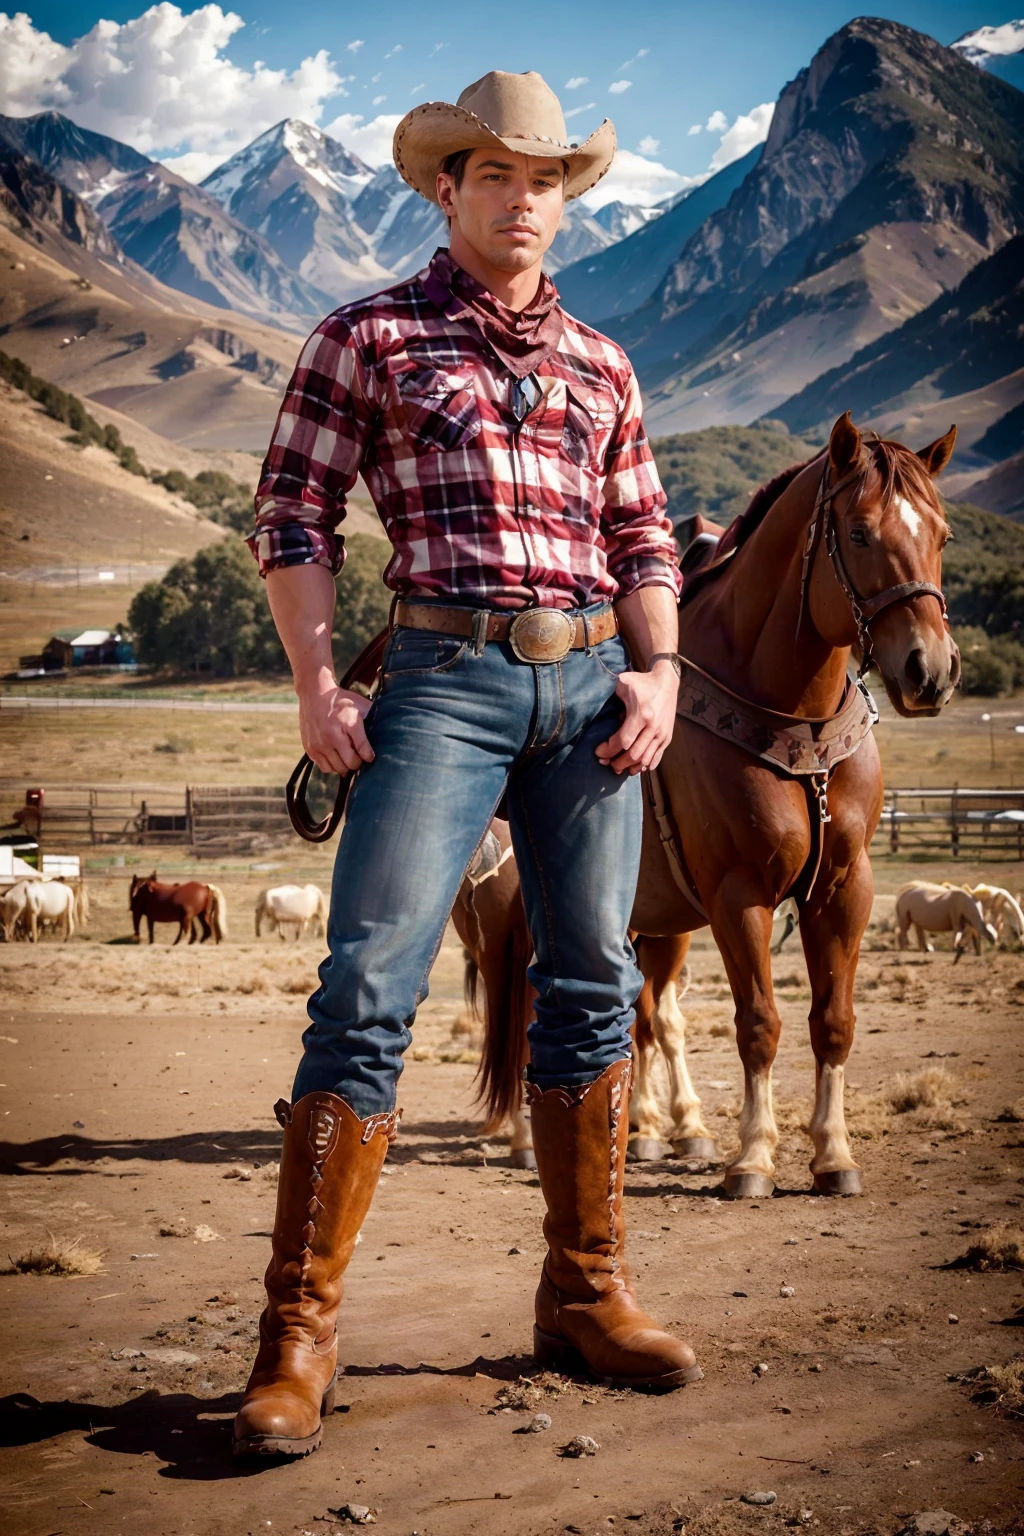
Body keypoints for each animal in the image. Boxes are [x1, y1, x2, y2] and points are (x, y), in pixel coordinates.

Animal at [472, 414, 964, 1191]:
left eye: (942, 535)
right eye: (859, 533)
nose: (931, 671)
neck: (795, 721)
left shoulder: (845, 888)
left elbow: (833, 1021)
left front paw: (833, 1153)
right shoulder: (740, 894)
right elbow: (759, 1023)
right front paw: (754, 1155)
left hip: (650, 920)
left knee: (633, 1017)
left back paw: (646, 1128)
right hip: (520, 916)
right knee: (524, 1014)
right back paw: (530, 1138)